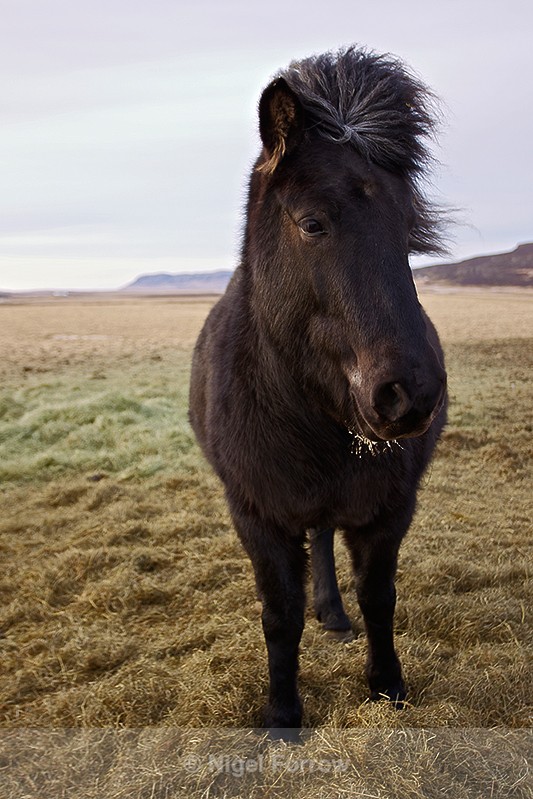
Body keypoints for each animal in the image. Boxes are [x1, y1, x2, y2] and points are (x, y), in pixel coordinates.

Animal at [189, 46, 448, 735]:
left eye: (409, 229)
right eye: (312, 223)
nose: (410, 395)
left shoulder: (389, 509)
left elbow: (379, 600)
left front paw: (388, 688)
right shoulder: (256, 514)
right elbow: (280, 616)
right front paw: (282, 713)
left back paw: (333, 614)